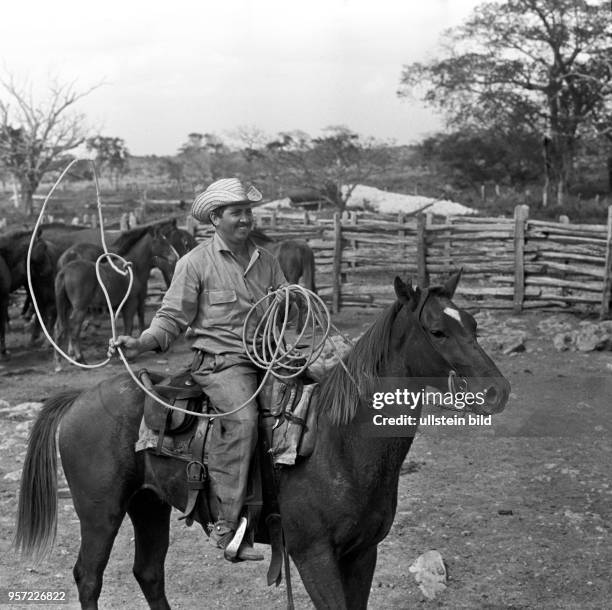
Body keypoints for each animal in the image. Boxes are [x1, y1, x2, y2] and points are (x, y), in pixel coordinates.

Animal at [15, 272, 512, 608]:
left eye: (472, 323)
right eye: (437, 331)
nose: (496, 390)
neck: (338, 444)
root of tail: (80, 398)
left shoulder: (362, 554)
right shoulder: (313, 556)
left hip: (149, 504)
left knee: (149, 572)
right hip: (100, 512)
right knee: (89, 577)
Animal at [53, 226, 178, 370]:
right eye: (163, 241)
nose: (175, 256)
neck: (132, 270)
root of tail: (64, 271)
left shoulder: (123, 305)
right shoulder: (131, 302)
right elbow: (129, 325)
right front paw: (125, 354)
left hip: (66, 305)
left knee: (59, 327)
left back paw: (59, 363)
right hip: (80, 307)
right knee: (74, 328)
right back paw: (80, 359)